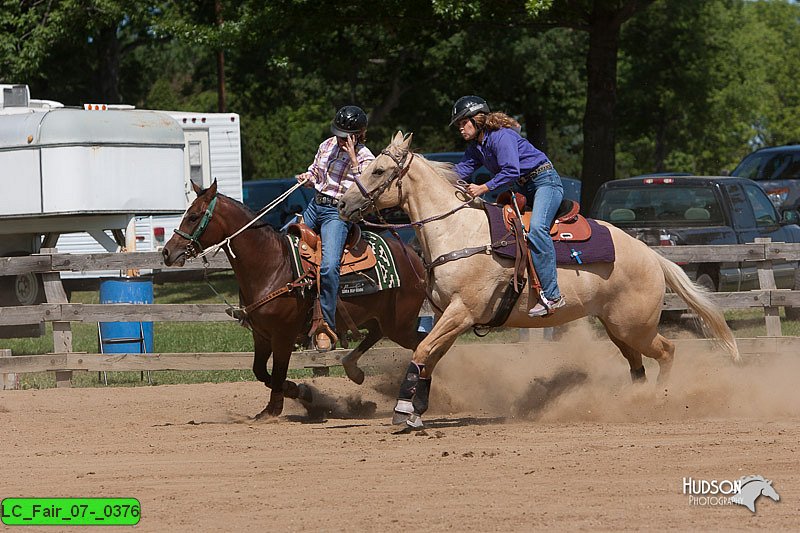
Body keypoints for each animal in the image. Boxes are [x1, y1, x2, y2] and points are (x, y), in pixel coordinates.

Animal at [159, 181, 428, 418]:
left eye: (194, 216)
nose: (167, 252)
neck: (272, 263)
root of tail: (412, 254)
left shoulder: (283, 335)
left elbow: (277, 373)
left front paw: (274, 409)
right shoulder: (261, 335)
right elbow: (260, 372)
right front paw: (300, 393)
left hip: (399, 323)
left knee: (420, 344)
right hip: (378, 318)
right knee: (379, 335)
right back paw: (354, 370)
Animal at [336, 132, 736, 428]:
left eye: (378, 170)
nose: (342, 205)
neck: (458, 231)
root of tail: (651, 255)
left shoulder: (461, 312)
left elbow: (422, 352)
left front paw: (404, 412)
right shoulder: (442, 314)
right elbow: (429, 357)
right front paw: (416, 409)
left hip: (634, 325)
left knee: (667, 351)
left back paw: (656, 400)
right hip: (617, 327)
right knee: (637, 363)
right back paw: (631, 399)